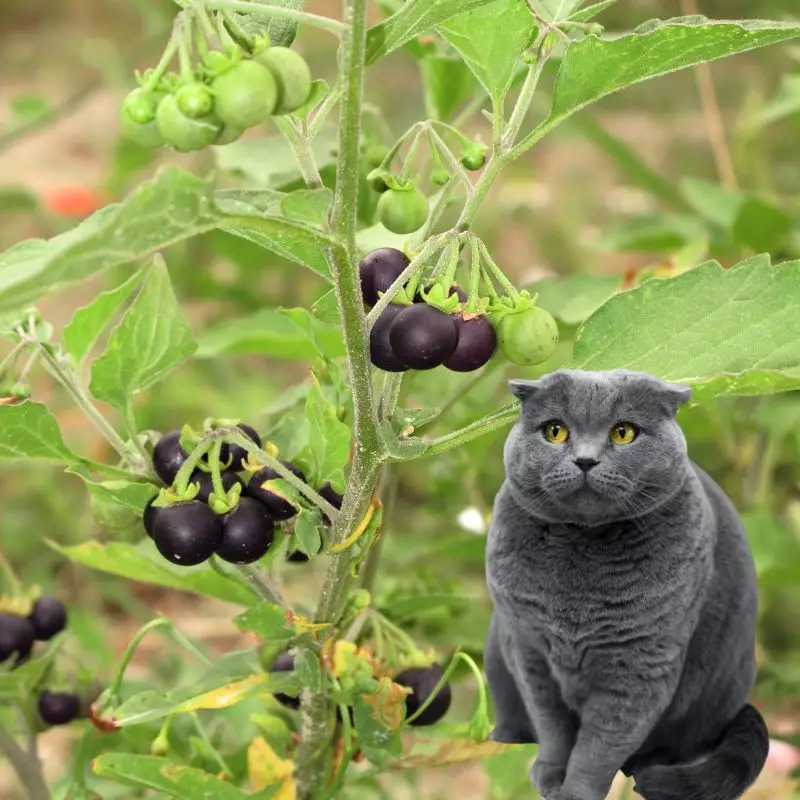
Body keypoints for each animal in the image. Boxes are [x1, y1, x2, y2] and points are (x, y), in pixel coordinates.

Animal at [484, 368, 764, 800]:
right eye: (555, 431)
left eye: (623, 433)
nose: (585, 459)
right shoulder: (529, 652)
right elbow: (552, 727)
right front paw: (549, 774)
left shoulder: (639, 666)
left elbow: (598, 747)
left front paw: (574, 793)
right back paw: (504, 736)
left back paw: (645, 770)